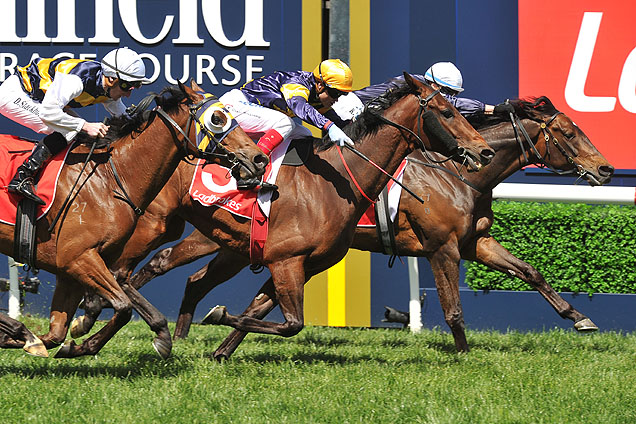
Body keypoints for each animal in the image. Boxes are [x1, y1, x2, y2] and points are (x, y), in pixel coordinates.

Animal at [0, 80, 266, 358]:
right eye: (217, 118)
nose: (259, 159)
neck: (109, 178)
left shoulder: (71, 269)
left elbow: (56, 334)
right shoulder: (78, 258)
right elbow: (123, 306)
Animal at [71, 73, 496, 350]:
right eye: (446, 112)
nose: (484, 150)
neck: (336, 180)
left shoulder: (299, 263)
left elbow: (264, 313)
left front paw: (220, 348)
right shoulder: (288, 260)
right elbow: (292, 323)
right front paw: (217, 316)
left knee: (130, 276)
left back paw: (93, 329)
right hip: (153, 225)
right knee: (121, 273)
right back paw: (88, 323)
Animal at [82, 95, 612, 358]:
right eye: (569, 132)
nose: (606, 169)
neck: (455, 173)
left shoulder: (473, 241)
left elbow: (529, 271)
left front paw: (579, 318)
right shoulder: (441, 246)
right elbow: (453, 307)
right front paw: (462, 354)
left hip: (231, 244)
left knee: (189, 279)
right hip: (168, 227)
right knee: (143, 268)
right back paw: (109, 316)